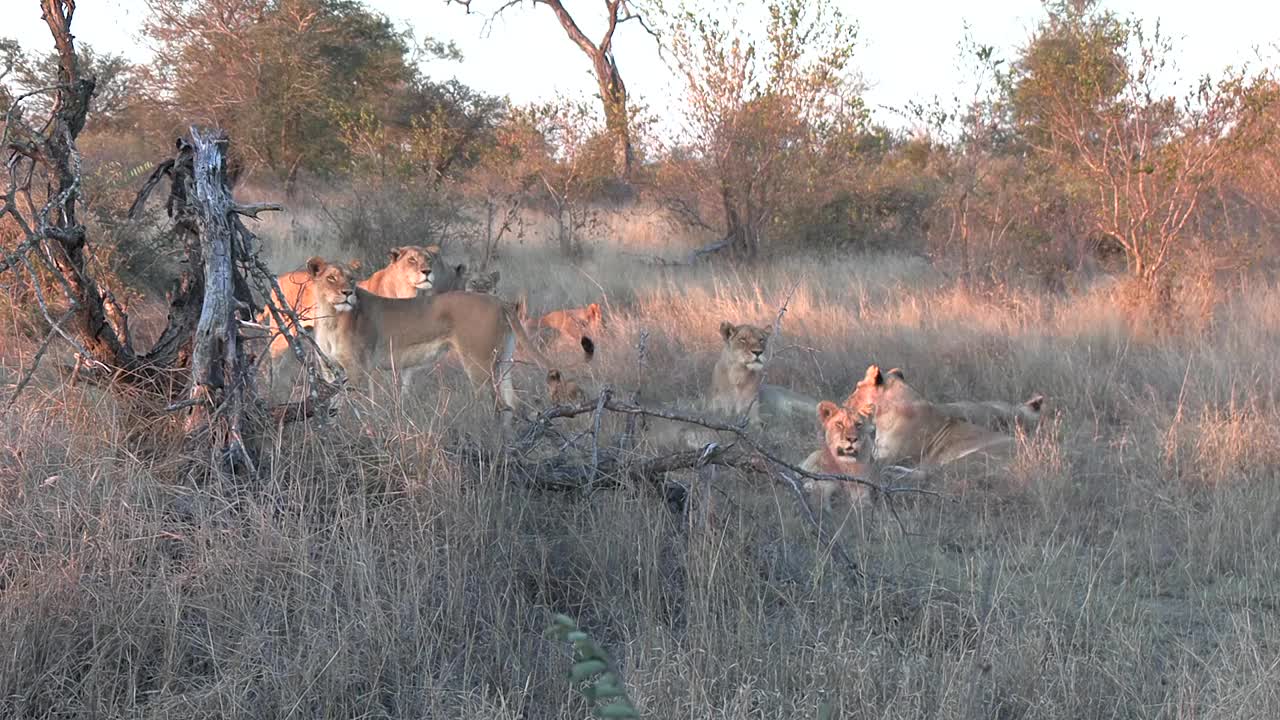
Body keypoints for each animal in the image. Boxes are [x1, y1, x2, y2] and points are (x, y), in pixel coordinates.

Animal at [257, 243, 442, 361]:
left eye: (429, 259)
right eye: (412, 260)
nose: (427, 271)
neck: (408, 292)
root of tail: (278, 279)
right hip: (281, 333)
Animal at [307, 256, 591, 415]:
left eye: (352, 279)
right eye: (331, 278)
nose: (347, 293)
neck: (331, 317)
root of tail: (499, 301)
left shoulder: (359, 369)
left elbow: (357, 404)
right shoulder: (330, 370)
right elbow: (334, 404)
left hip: (478, 364)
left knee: (495, 404)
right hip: (504, 362)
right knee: (513, 403)